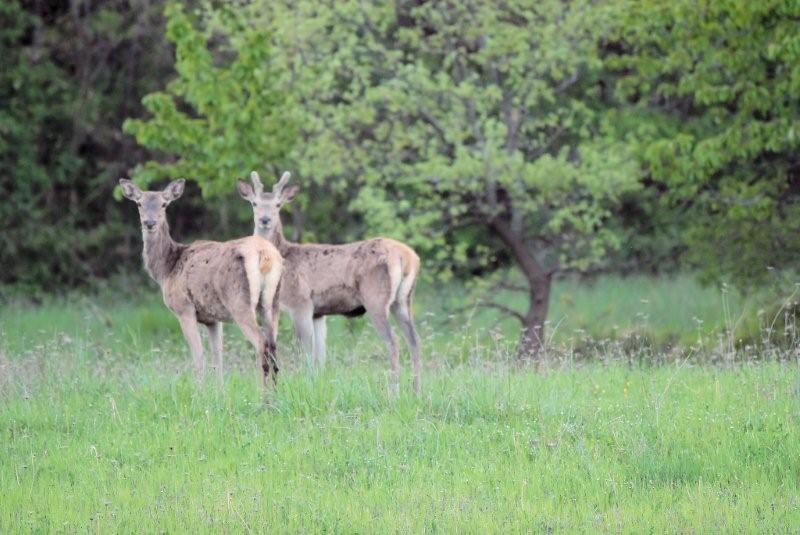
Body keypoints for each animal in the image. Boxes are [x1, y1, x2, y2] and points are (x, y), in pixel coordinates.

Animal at [117, 178, 282, 392]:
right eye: (139, 203)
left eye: (164, 204)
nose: (150, 223)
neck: (167, 269)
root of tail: (265, 254)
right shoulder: (213, 318)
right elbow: (218, 355)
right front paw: (220, 392)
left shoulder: (184, 308)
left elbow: (198, 354)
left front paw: (200, 392)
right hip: (272, 302)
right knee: (273, 345)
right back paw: (276, 392)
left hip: (239, 301)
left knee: (262, 343)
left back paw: (263, 394)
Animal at [236, 172, 422, 398]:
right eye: (254, 203)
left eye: (278, 204)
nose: (265, 219)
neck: (283, 257)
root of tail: (408, 257)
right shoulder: (319, 312)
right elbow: (320, 356)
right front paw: (316, 386)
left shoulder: (301, 302)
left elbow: (306, 351)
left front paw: (304, 385)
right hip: (403, 300)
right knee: (415, 341)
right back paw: (416, 391)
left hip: (376, 298)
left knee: (394, 341)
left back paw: (393, 393)